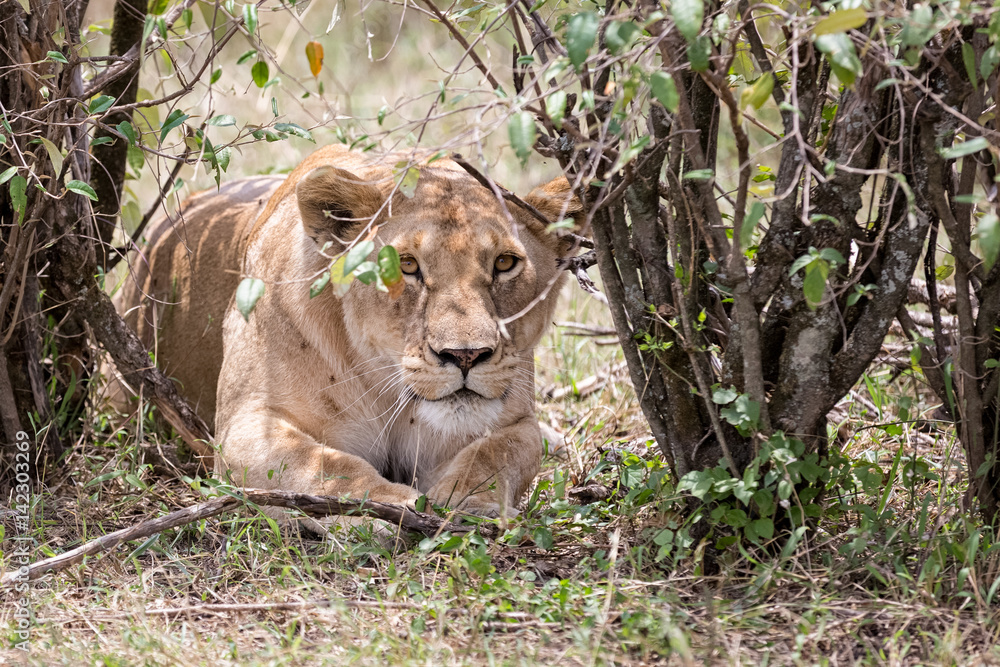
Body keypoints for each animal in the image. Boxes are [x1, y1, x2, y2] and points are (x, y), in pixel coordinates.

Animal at [113, 145, 578, 517]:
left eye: (504, 263)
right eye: (407, 265)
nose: (465, 356)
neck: (389, 389)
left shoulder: (514, 422)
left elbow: (493, 453)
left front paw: (467, 502)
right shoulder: (245, 426)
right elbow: (327, 467)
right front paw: (389, 506)